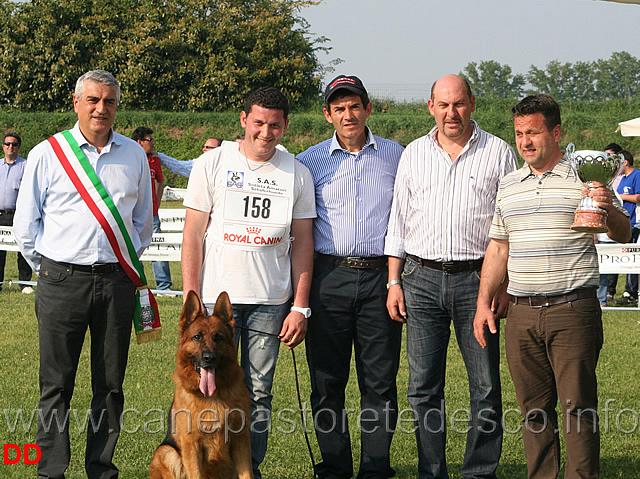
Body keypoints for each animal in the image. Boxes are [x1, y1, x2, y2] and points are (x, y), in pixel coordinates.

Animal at [150, 290, 252, 478]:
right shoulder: (191, 445)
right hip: (166, 452)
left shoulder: (241, 440)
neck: (213, 396)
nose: (209, 358)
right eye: (197, 337)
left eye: (218, 338)